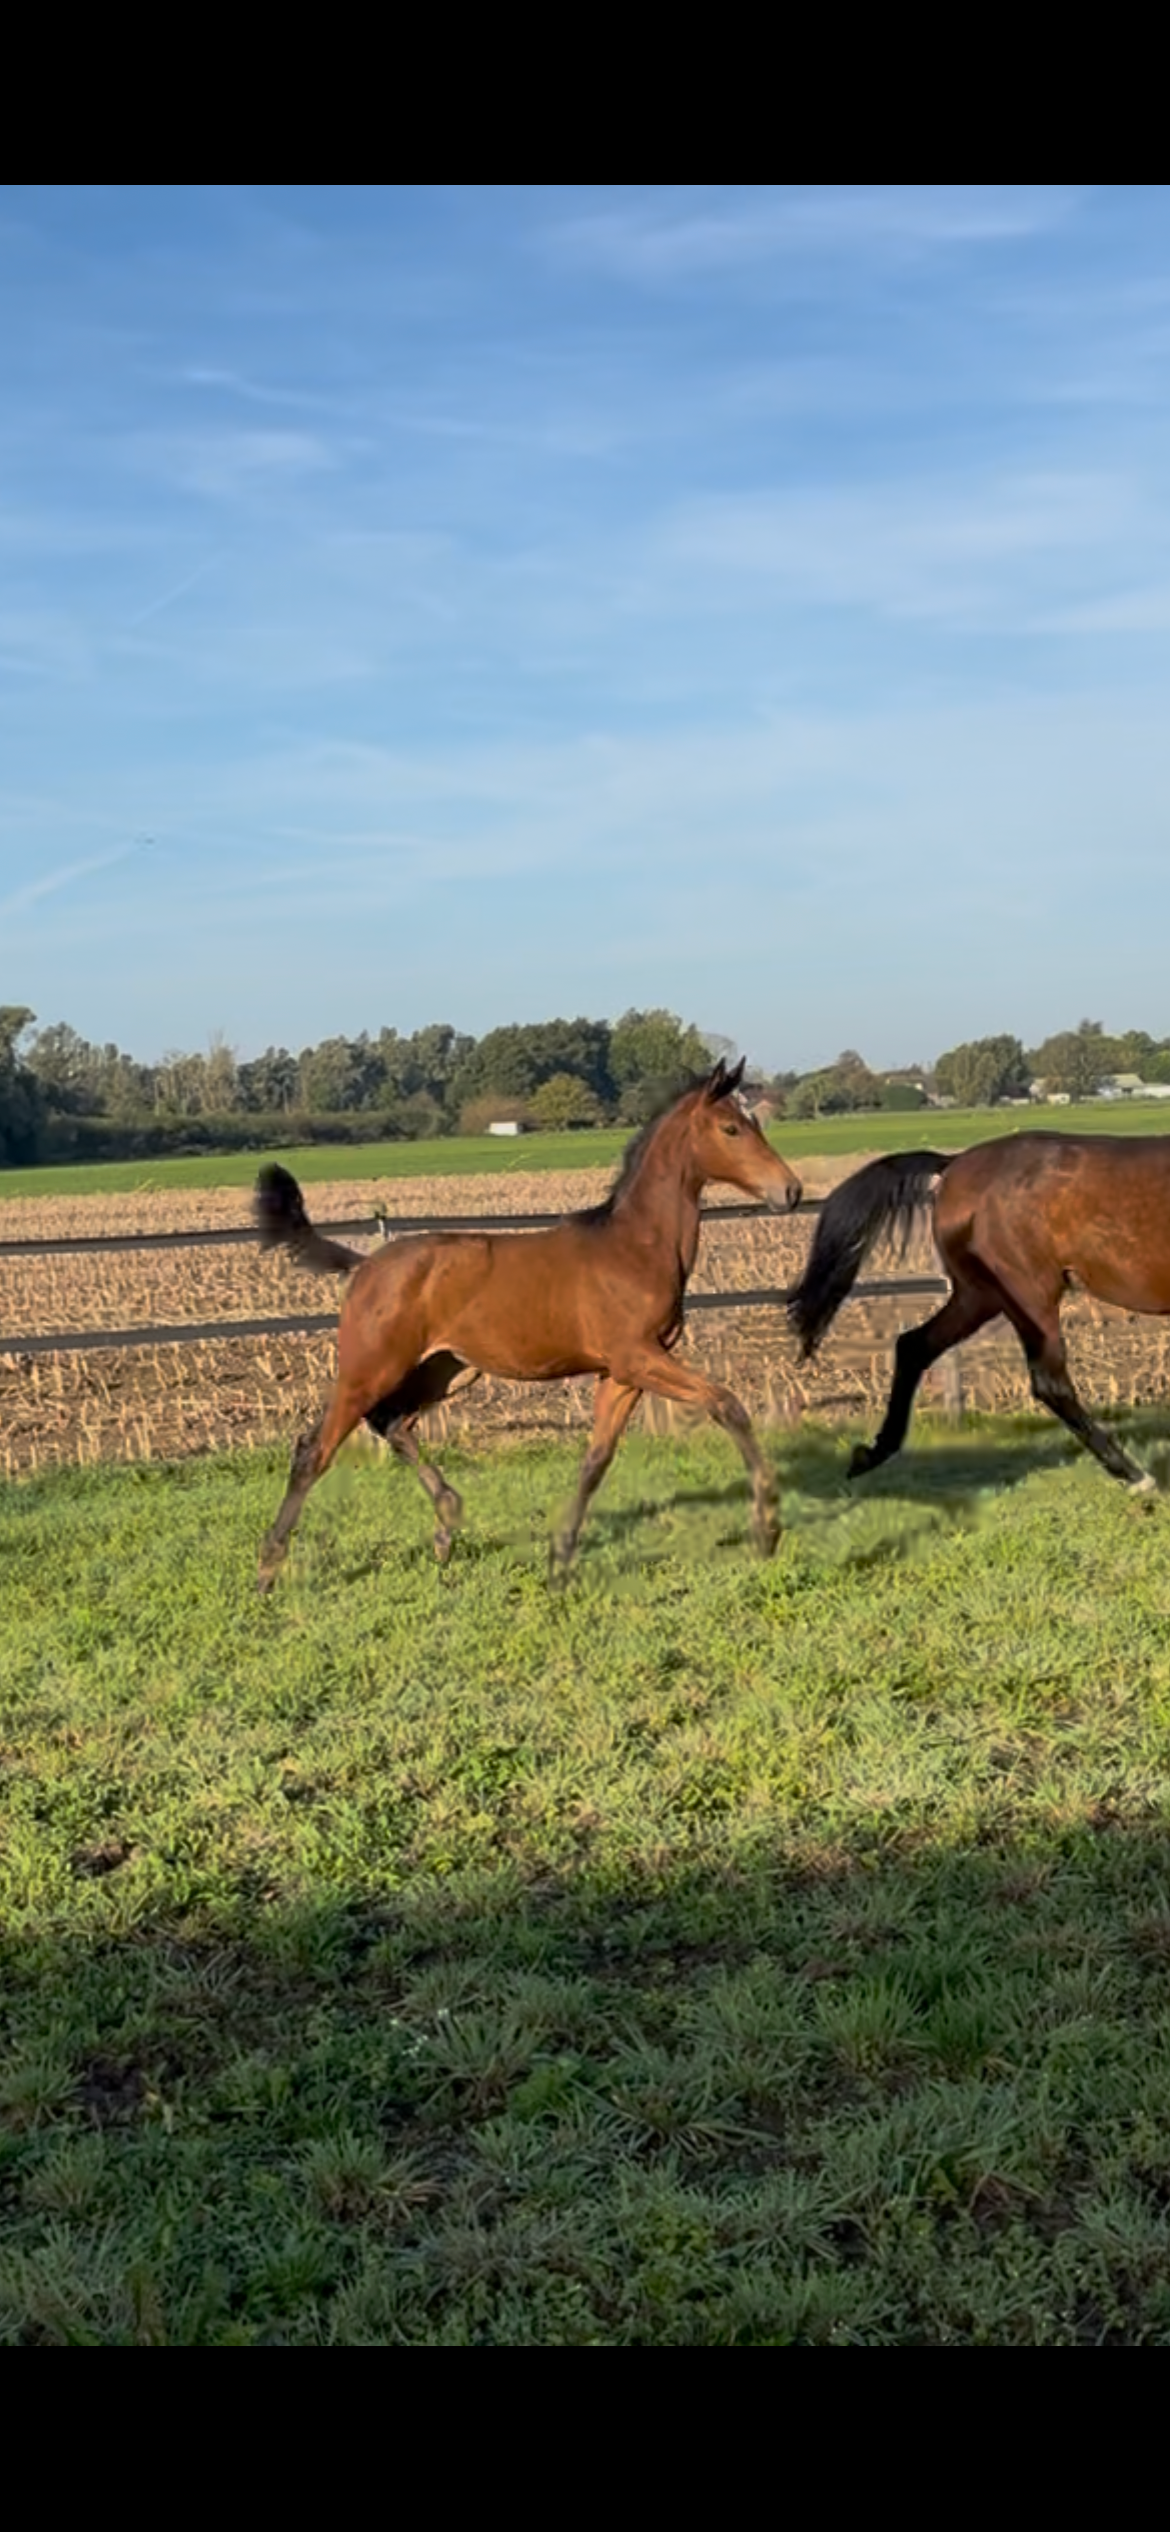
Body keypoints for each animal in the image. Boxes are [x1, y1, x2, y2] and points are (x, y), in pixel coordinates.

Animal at [253, 1058, 802, 1590]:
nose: (791, 1191)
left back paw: (447, 1525)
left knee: (393, 1423)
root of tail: (365, 1265)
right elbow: (727, 1405)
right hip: (369, 1369)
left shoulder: (622, 1375)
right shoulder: (638, 1357)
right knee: (315, 1449)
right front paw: (767, 1528)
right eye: (731, 1128)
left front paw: (560, 1558)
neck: (634, 1247)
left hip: (446, 1370)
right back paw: (268, 1569)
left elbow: (596, 1460)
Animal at [787, 1131, 1170, 1492]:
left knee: (913, 1345)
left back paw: (872, 1453)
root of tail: (954, 1164)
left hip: (978, 1296)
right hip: (1027, 1294)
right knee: (1050, 1381)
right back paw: (1136, 1476)